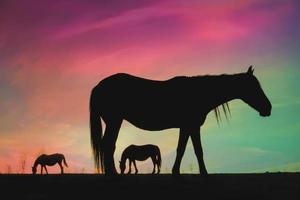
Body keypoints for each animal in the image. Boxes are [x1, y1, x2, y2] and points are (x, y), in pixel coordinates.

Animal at [89, 66, 272, 175]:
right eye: (254, 87)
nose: (268, 108)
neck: (198, 93)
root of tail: (98, 86)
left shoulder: (188, 127)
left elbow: (184, 149)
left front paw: (178, 172)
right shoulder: (191, 126)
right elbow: (195, 150)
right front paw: (203, 173)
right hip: (114, 120)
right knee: (108, 145)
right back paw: (112, 174)